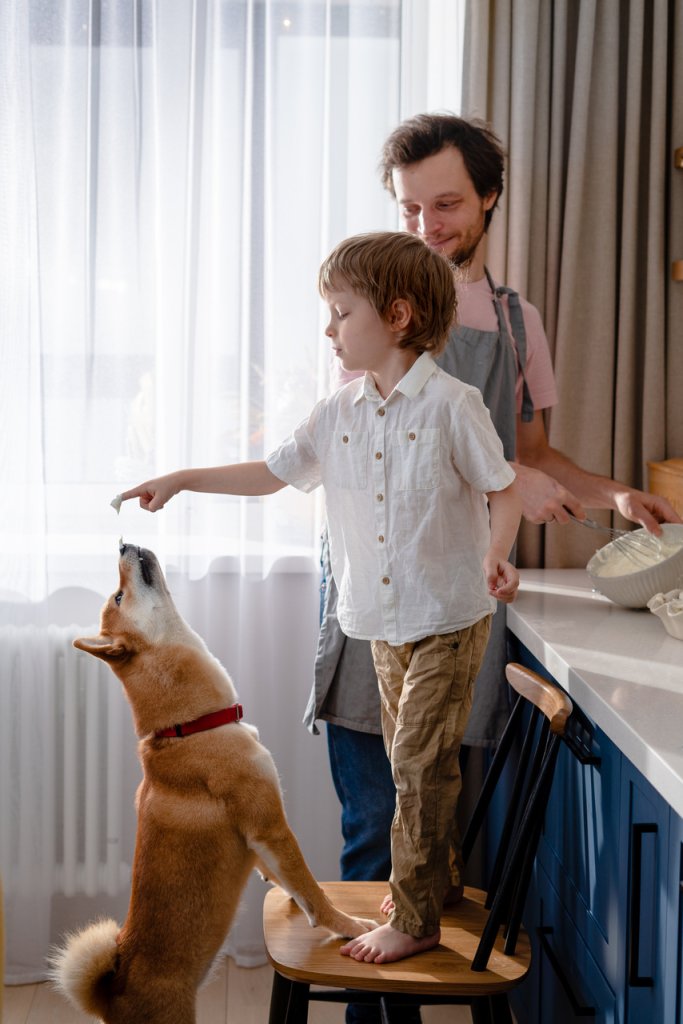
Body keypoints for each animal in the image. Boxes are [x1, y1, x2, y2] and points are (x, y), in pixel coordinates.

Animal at [51, 540, 374, 1019]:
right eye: (119, 596)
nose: (124, 543)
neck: (191, 726)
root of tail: (114, 991)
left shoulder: (260, 842)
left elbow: (288, 881)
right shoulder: (270, 827)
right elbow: (313, 890)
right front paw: (348, 925)